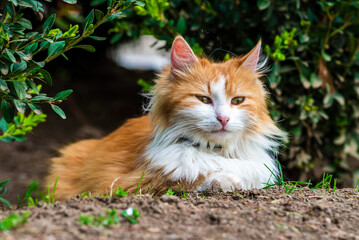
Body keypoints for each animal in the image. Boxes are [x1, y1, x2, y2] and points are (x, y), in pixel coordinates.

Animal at [45, 35, 286, 201]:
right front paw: (222, 180)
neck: (211, 150)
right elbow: (194, 179)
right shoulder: (132, 183)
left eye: (237, 100)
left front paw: (229, 179)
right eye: (203, 99)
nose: (224, 119)